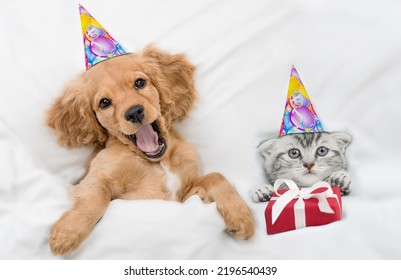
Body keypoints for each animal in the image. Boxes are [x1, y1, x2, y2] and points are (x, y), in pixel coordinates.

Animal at [47, 46, 253, 256]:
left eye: (140, 83)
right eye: (104, 103)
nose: (134, 112)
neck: (159, 162)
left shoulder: (183, 197)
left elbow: (215, 176)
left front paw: (240, 216)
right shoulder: (95, 177)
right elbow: (96, 198)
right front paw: (67, 233)